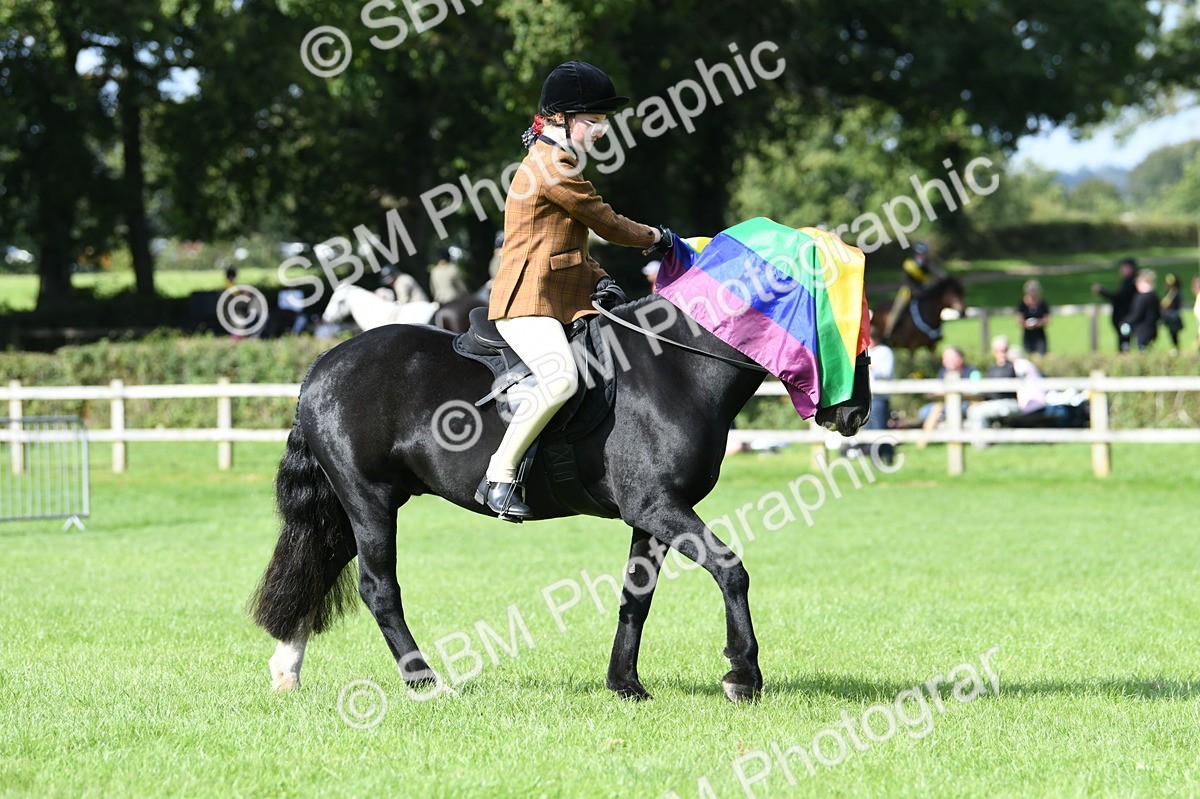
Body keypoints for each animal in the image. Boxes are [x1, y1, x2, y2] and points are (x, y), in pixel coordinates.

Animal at [251, 295, 871, 703]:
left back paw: (287, 670)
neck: (676, 367)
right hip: (370, 502)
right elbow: (731, 569)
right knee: (379, 589)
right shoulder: (659, 508)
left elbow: (635, 597)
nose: (854, 415)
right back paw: (424, 681)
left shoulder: (652, 516)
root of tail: (324, 365)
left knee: (317, 567)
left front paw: (625, 685)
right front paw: (742, 676)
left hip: (353, 507)